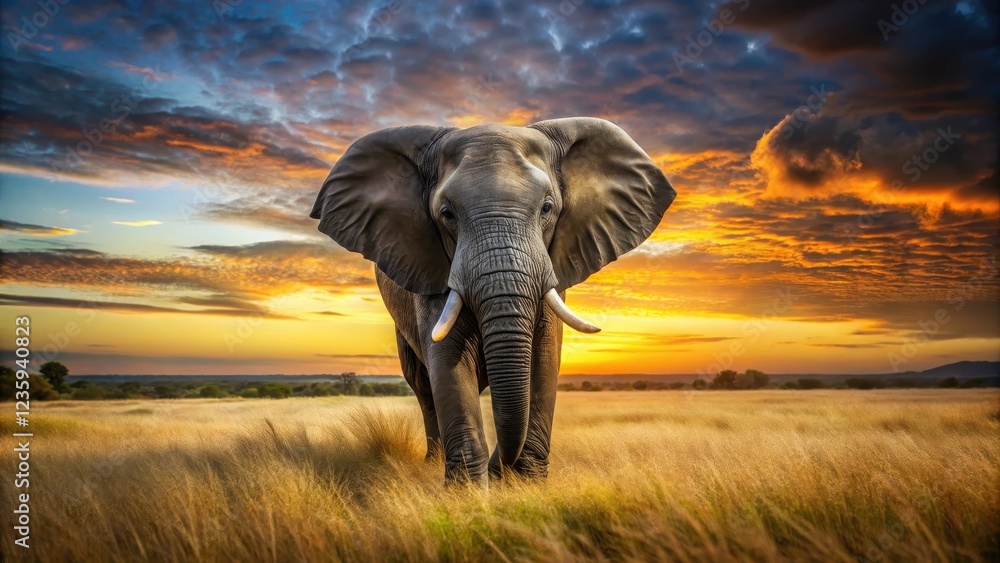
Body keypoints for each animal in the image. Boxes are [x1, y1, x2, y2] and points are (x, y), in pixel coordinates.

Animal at [310, 117, 676, 486]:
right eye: (447, 214)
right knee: (423, 386)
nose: (498, 469)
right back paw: (432, 462)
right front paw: (468, 492)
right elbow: (447, 361)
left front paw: (528, 485)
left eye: (547, 208)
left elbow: (544, 359)